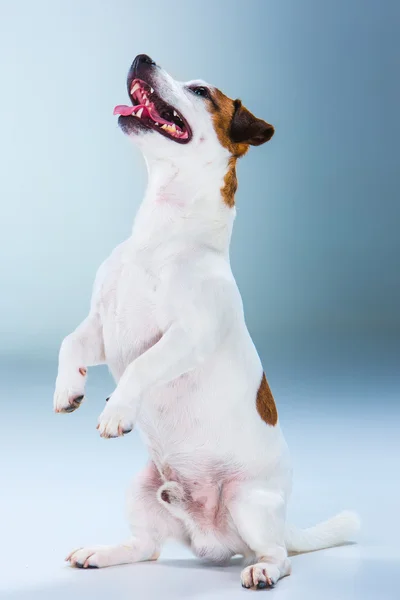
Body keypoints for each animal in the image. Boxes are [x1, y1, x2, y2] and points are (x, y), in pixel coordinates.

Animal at [54, 54, 360, 588]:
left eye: (200, 91)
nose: (142, 57)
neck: (160, 233)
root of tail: (211, 540)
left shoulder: (188, 335)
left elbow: (143, 365)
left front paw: (117, 409)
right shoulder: (102, 329)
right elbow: (69, 343)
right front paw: (67, 389)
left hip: (247, 501)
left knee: (280, 555)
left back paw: (263, 570)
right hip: (141, 488)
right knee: (146, 548)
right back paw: (102, 551)